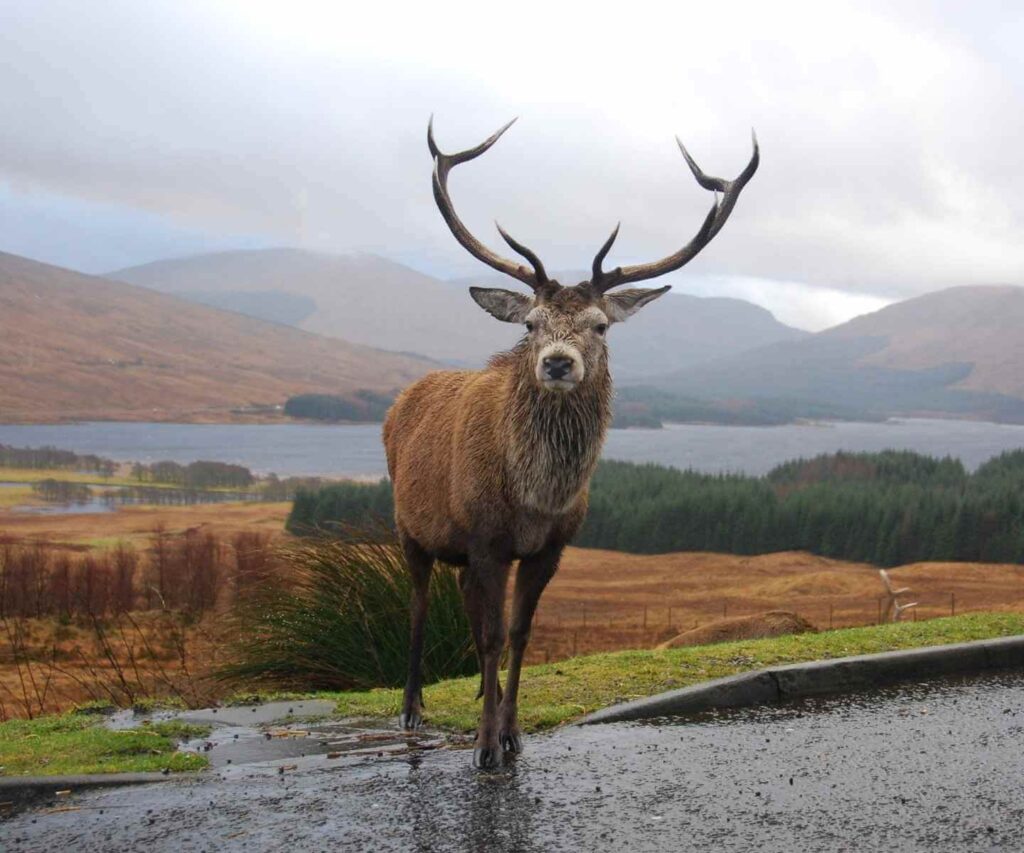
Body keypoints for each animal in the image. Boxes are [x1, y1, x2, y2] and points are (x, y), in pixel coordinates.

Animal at [383, 117, 758, 768]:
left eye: (600, 325)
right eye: (532, 324)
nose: (558, 362)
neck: (535, 498)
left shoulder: (550, 547)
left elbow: (519, 634)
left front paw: (511, 732)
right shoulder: (485, 539)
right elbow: (491, 635)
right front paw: (484, 747)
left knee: (464, 604)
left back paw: (479, 693)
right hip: (410, 527)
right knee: (419, 604)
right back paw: (411, 708)